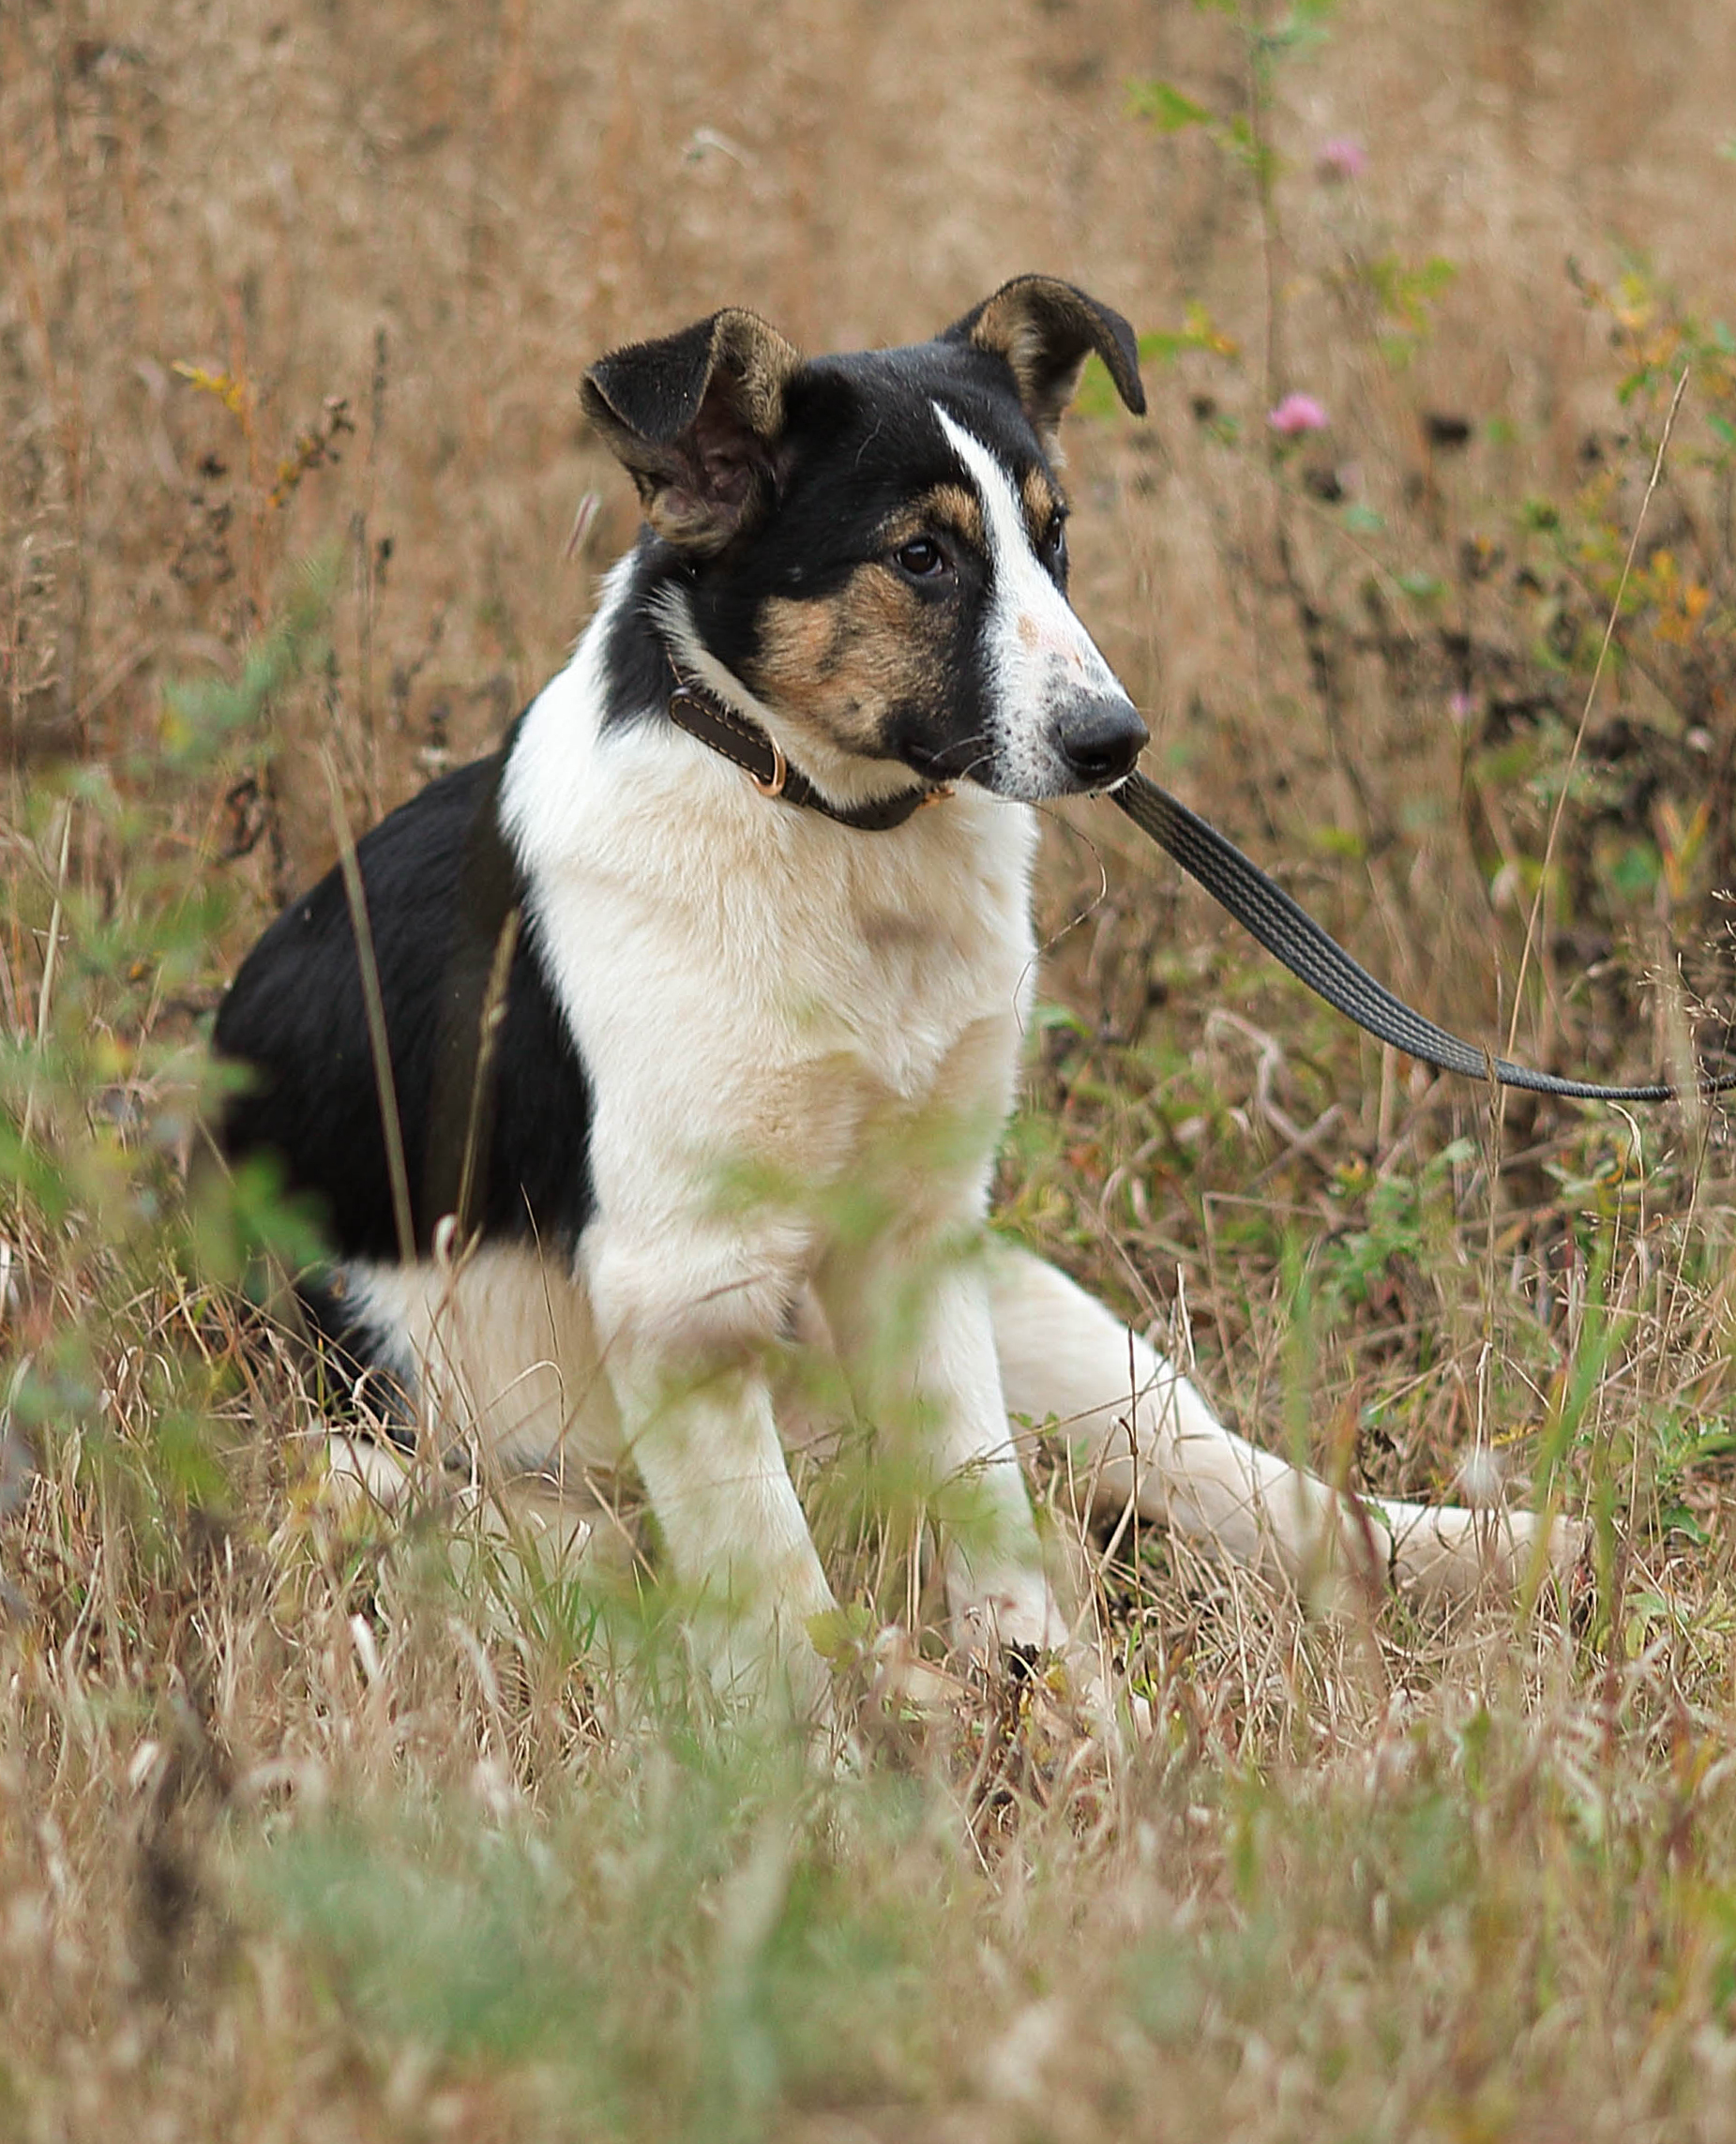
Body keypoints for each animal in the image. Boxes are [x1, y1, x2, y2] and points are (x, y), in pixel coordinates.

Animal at [209, 280, 1577, 1723]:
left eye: (1054, 537)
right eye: (920, 558)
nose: (1115, 746)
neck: (823, 819)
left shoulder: (921, 1232)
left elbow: (990, 1511)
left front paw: (1052, 1702)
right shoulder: (680, 1291)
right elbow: (778, 1599)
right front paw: (873, 1734)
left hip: (1038, 1306)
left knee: (1230, 1481)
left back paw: (1487, 1552)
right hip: (404, 1463)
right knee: (608, 1551)